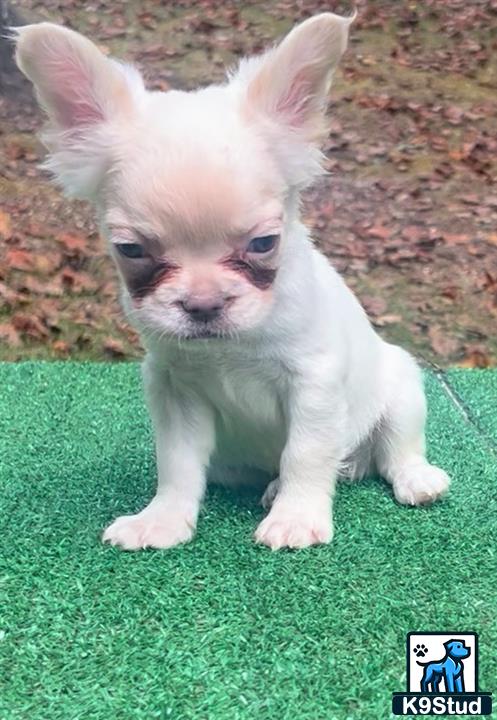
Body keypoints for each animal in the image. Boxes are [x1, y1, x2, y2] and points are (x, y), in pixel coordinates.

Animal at [15, 12, 450, 552]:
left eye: (264, 243)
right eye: (131, 250)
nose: (203, 303)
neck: (229, 348)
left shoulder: (314, 384)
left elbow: (305, 452)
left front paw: (296, 517)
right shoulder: (176, 392)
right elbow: (177, 465)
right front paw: (162, 519)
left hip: (402, 388)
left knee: (395, 451)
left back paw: (412, 478)